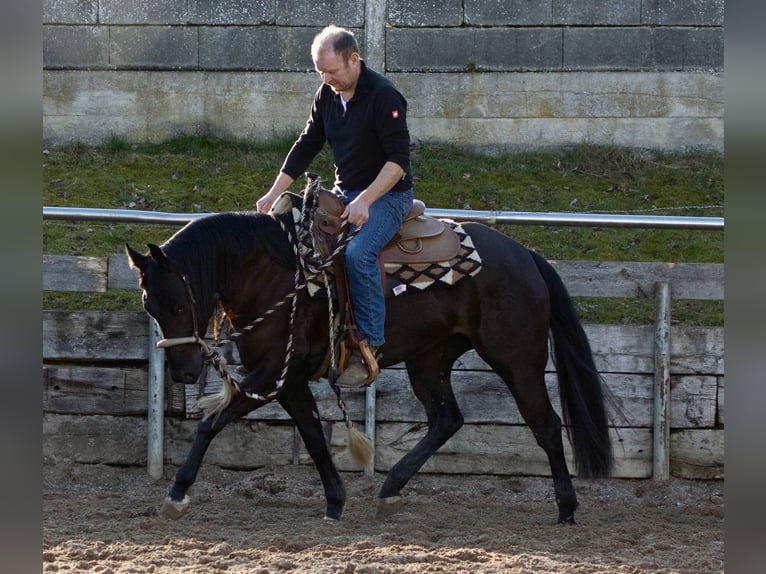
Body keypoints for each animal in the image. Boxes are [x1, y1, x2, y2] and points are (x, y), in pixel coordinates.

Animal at [125, 185, 613, 525]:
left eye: (178, 305)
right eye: (150, 306)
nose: (183, 372)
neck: (273, 274)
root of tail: (526, 255)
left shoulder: (271, 374)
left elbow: (211, 423)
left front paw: (177, 494)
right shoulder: (289, 381)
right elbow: (314, 437)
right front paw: (335, 502)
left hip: (517, 360)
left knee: (546, 425)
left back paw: (566, 508)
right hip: (428, 359)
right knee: (446, 419)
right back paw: (390, 489)